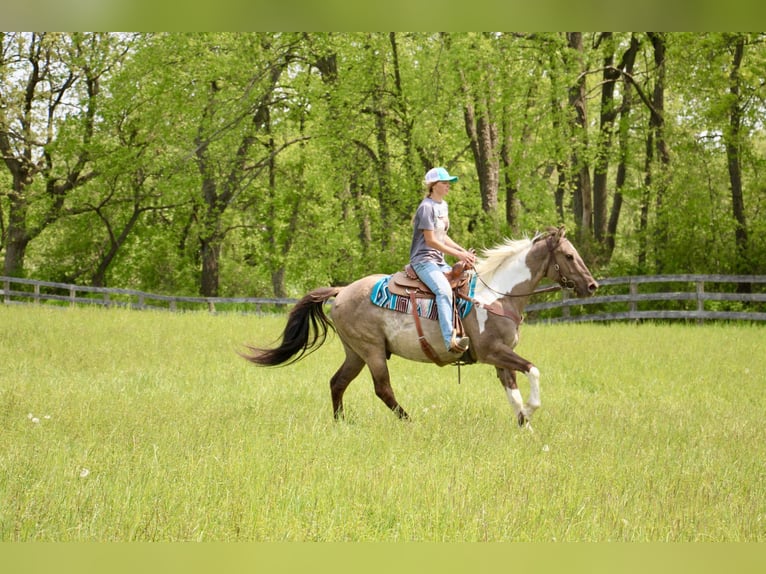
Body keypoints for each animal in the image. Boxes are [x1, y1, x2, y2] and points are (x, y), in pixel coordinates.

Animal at [243, 225, 604, 428]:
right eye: (569, 256)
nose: (592, 286)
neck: (498, 294)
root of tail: (341, 291)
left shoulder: (501, 359)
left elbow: (513, 391)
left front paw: (525, 426)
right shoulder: (492, 352)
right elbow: (533, 371)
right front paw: (532, 410)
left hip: (355, 352)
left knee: (337, 383)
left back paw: (340, 424)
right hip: (372, 351)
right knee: (382, 389)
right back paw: (410, 422)